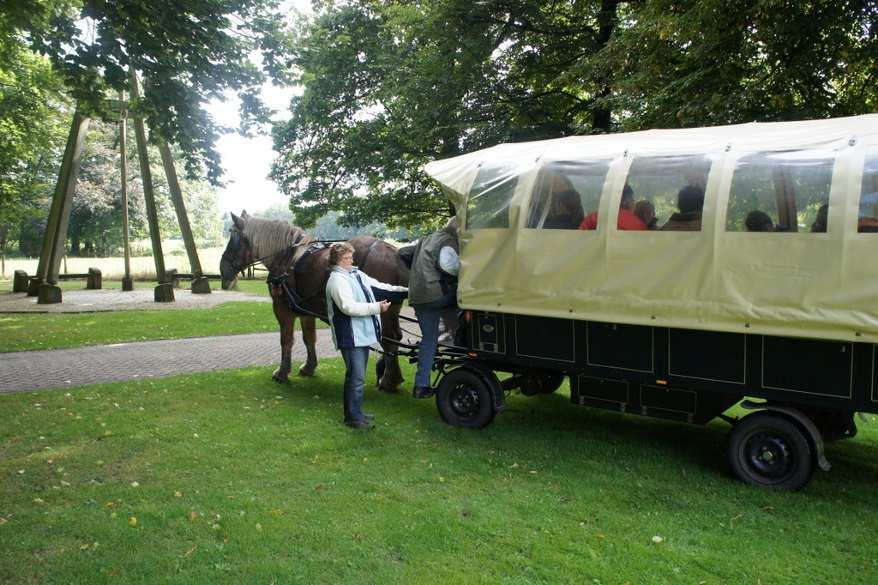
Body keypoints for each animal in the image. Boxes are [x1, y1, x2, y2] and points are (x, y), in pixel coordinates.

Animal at [220, 211, 412, 392]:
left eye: (233, 237)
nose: (222, 269)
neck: (287, 257)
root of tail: (395, 254)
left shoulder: (282, 309)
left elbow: (286, 340)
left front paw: (282, 372)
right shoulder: (306, 310)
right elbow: (309, 338)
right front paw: (309, 366)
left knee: (390, 340)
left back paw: (389, 380)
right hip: (392, 309)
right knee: (394, 338)